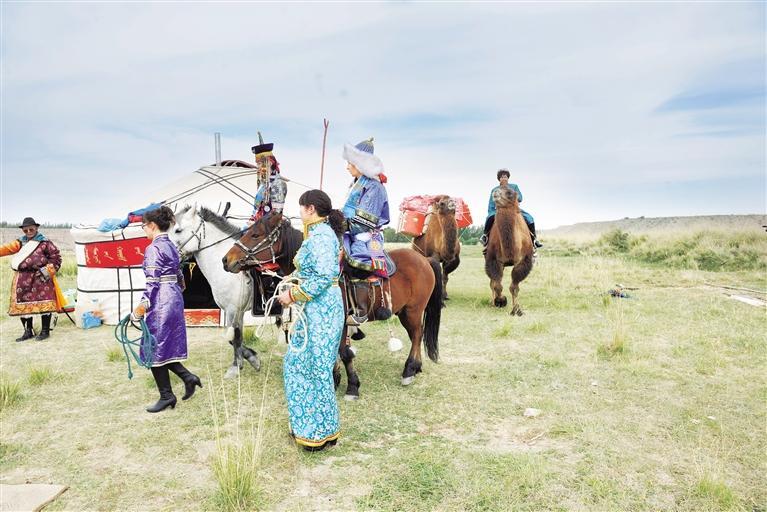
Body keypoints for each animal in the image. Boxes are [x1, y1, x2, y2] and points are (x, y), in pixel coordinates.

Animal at [168, 205, 264, 379]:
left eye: (178, 230)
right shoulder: (235, 311)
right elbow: (234, 338)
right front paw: (253, 359)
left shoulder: (233, 309)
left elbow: (235, 337)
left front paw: (235, 367)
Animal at [221, 212, 443, 398]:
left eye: (255, 235)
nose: (226, 260)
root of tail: (425, 259)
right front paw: (335, 379)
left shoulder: (343, 320)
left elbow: (344, 352)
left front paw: (352, 386)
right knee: (417, 335)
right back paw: (417, 367)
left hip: (412, 311)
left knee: (417, 334)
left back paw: (409, 370)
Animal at [484, 186, 534, 315]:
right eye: (494, 190)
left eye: (510, 193)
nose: (495, 192)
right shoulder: (494, 260)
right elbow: (497, 285)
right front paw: (501, 301)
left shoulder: (523, 261)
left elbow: (514, 287)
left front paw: (516, 309)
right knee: (492, 282)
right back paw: (492, 302)